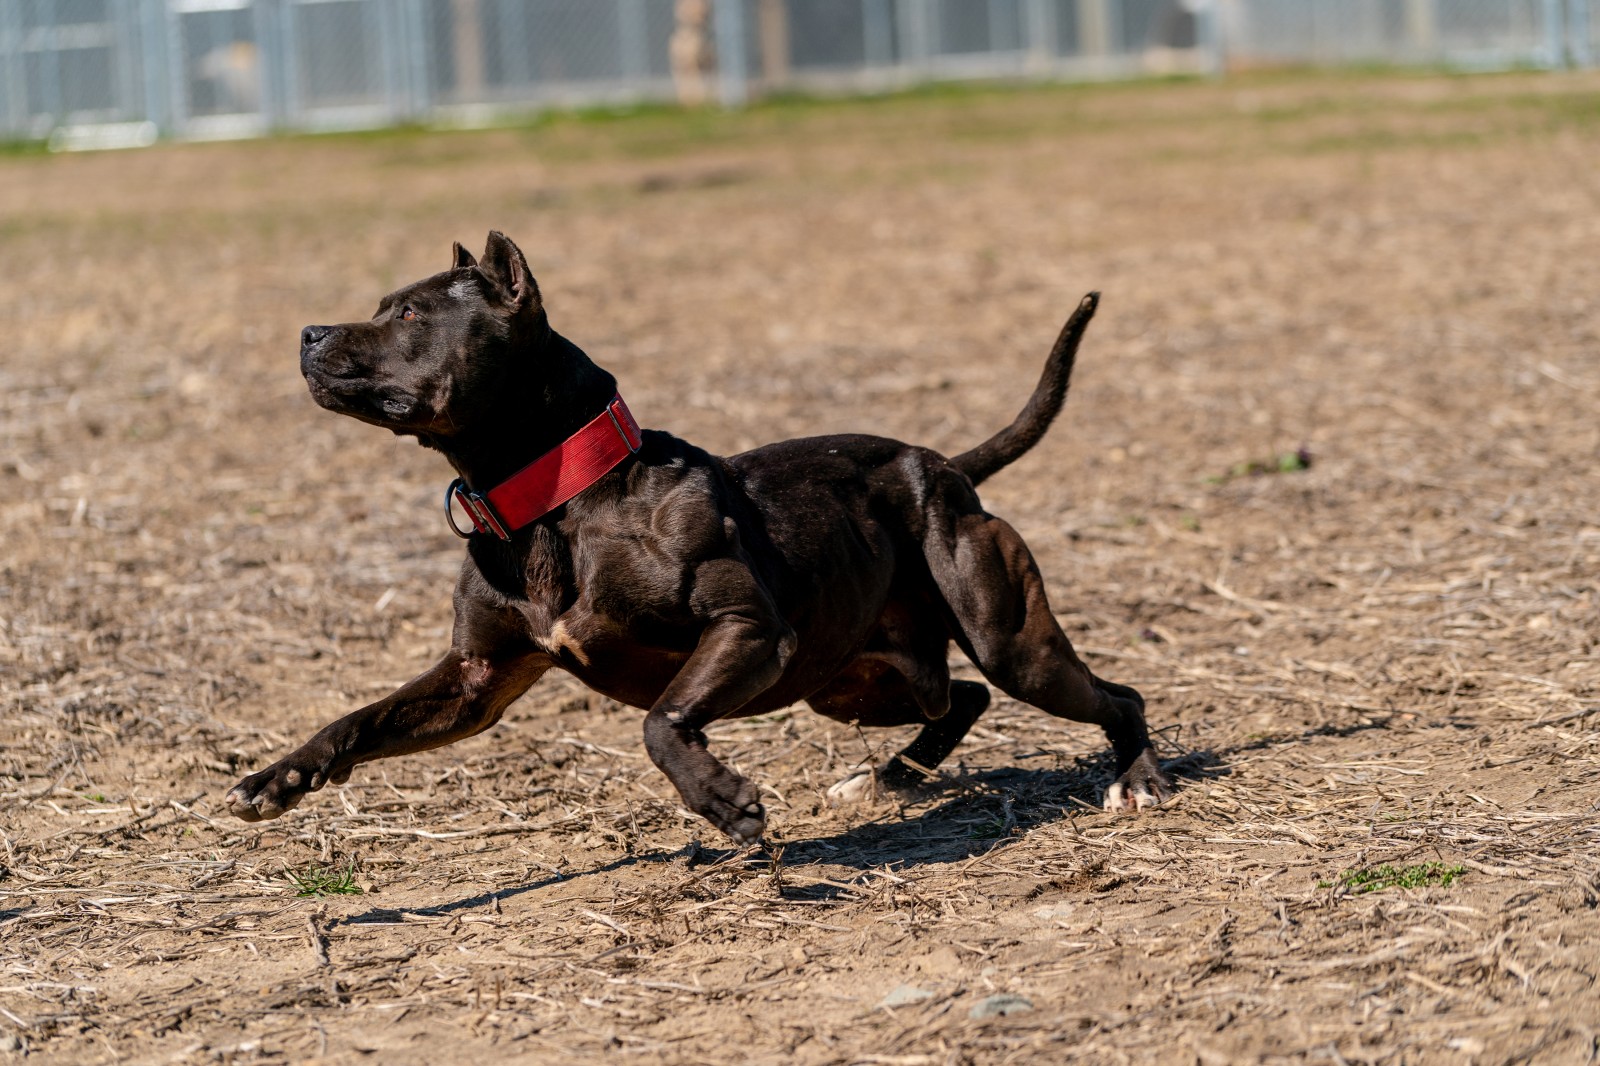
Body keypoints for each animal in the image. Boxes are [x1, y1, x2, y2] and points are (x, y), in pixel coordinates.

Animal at [225, 230, 1171, 838]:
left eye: (412, 317)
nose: (308, 332)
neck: (556, 502)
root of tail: (940, 464)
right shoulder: (473, 682)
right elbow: (358, 718)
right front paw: (280, 777)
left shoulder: (746, 630)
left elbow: (662, 721)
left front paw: (722, 799)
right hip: (847, 680)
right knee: (959, 700)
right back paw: (885, 778)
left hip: (1006, 640)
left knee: (1113, 696)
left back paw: (1135, 781)